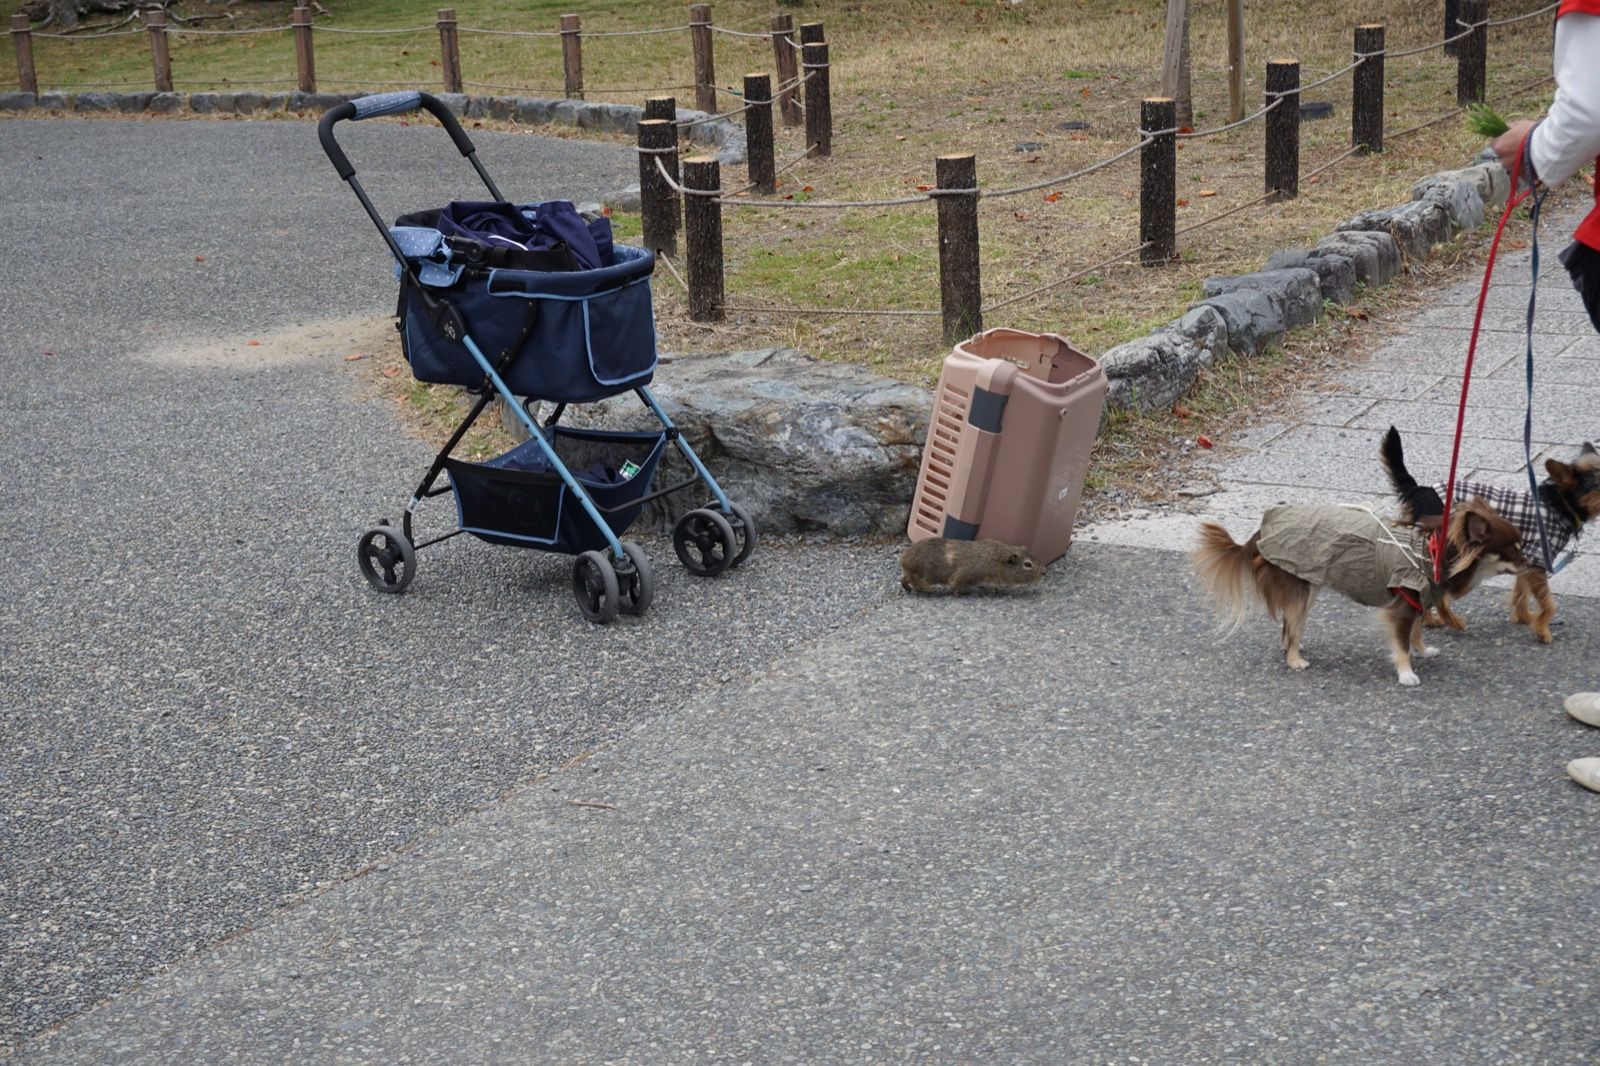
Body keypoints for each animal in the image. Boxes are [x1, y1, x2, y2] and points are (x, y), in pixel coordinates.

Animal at [896, 534, 1043, 592]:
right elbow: (956, 584)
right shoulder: (964, 576)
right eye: (1028, 564)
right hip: (921, 575)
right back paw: (927, 589)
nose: (1044, 572)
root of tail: (904, 558)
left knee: (903, 579)